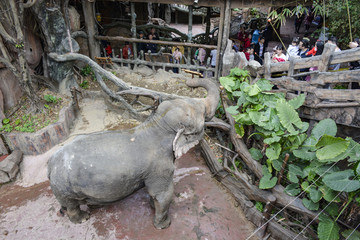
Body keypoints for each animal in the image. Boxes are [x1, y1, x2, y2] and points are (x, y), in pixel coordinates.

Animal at [46, 78, 218, 229]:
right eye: (203, 114)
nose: (189, 82)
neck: (157, 124)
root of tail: (50, 164)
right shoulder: (161, 168)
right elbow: (163, 194)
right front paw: (164, 225)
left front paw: (152, 206)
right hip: (65, 188)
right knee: (72, 205)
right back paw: (83, 218)